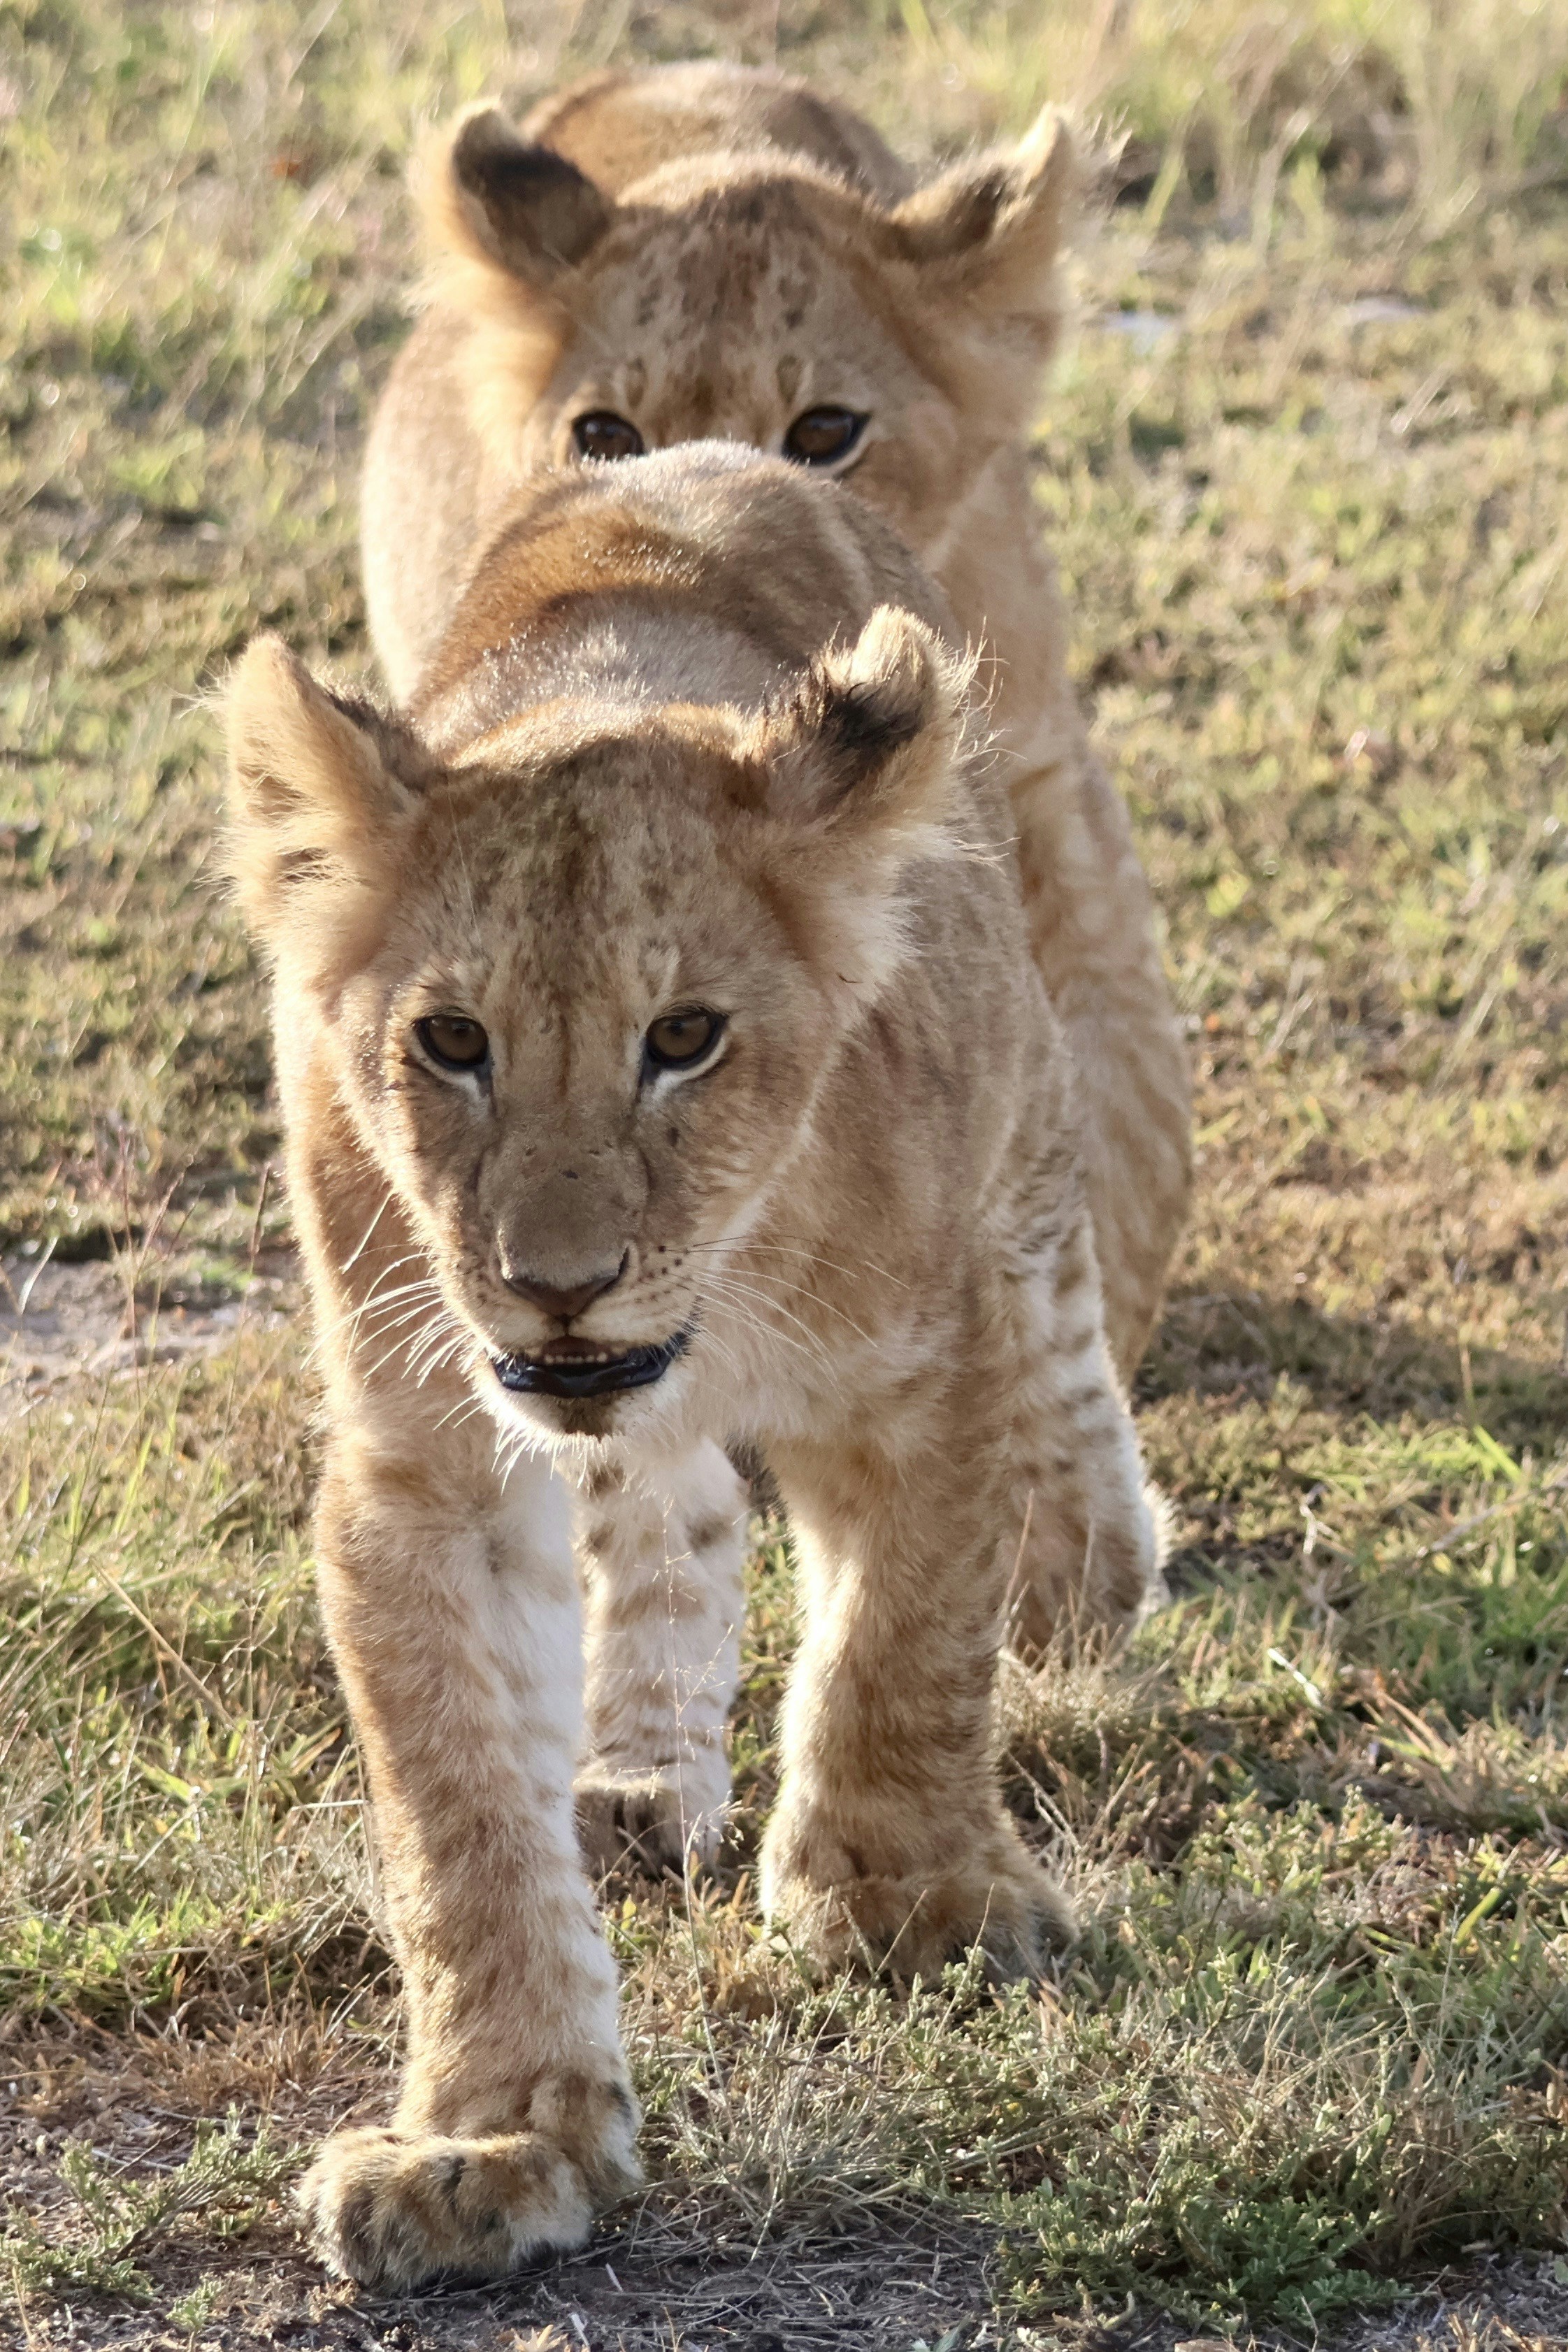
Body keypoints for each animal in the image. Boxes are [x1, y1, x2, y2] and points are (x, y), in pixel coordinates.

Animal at [226, 443, 1160, 2290]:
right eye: (450, 1041)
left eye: (685, 1039)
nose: (559, 1287)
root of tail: (703, 452)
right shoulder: (424, 1455)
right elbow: (459, 1814)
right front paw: (492, 2136)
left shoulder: (927, 1364)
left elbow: (907, 1640)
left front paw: (907, 1903)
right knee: (667, 1516)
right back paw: (642, 1769)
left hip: (1018, 1082)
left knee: (1057, 1273)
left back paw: (1090, 1545)